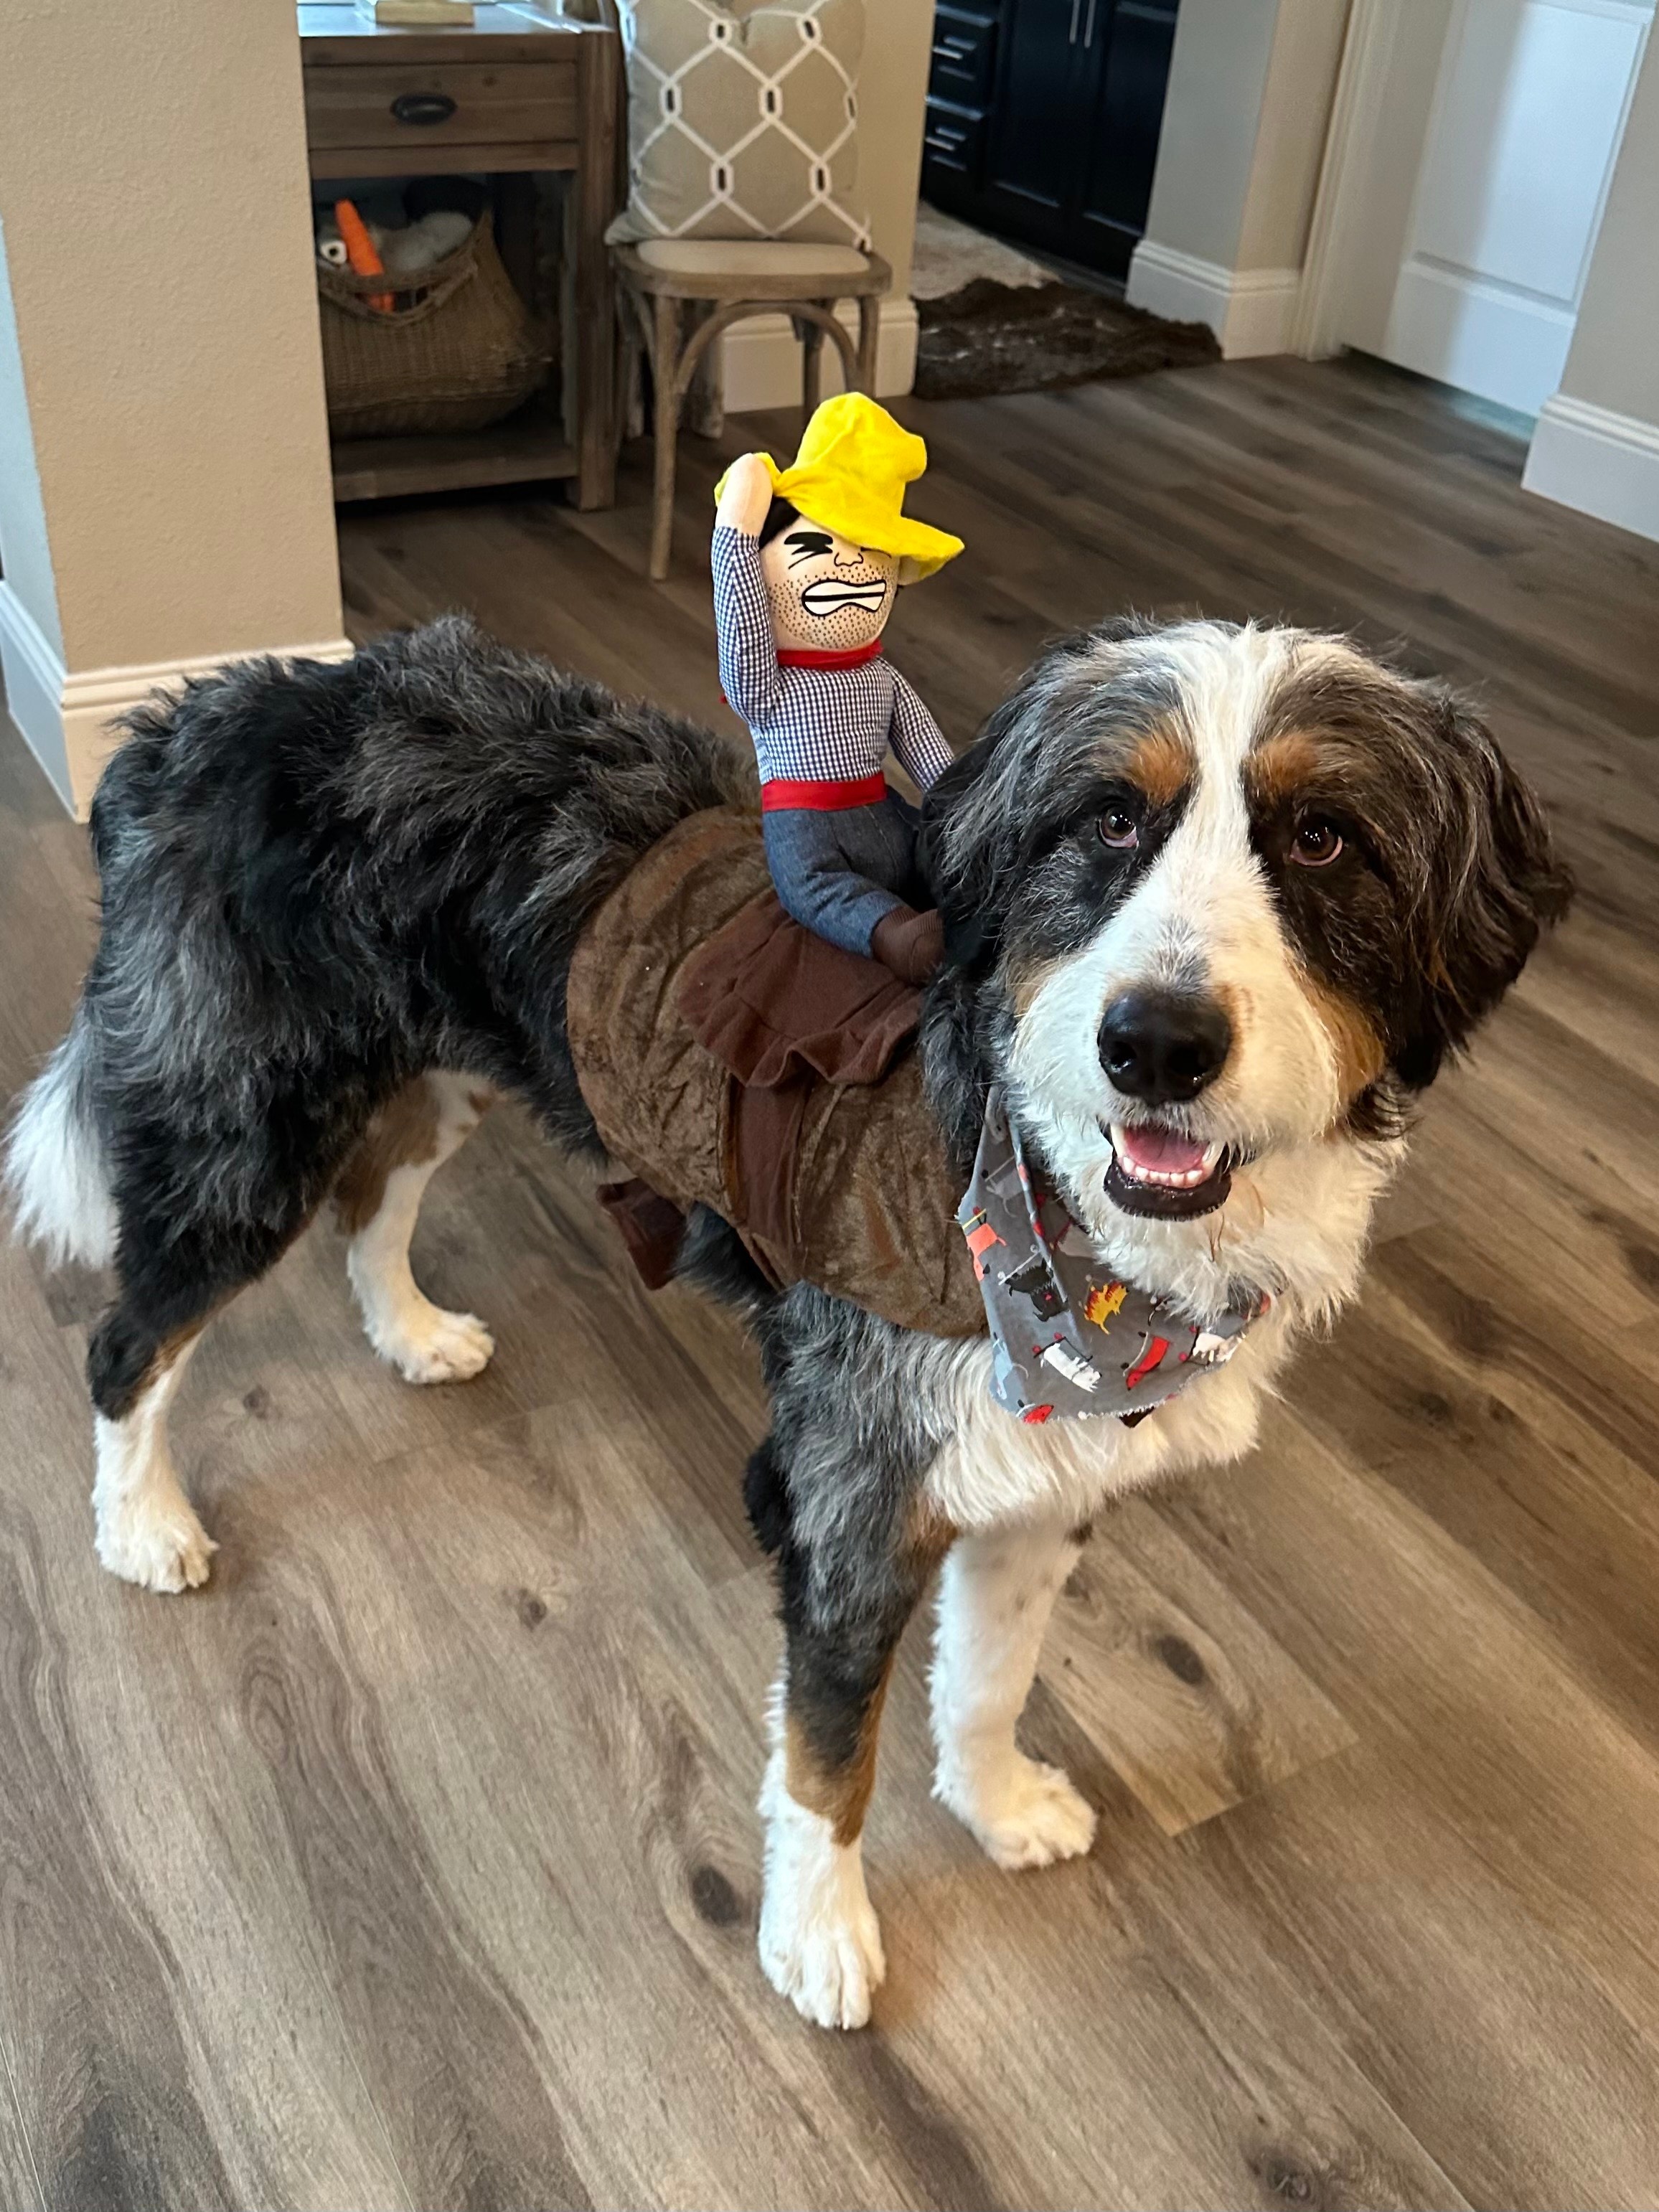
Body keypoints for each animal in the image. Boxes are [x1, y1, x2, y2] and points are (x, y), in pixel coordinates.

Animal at [6, 606, 1574, 2026]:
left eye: (1322, 840)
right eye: (1107, 818)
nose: (1155, 1042)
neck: (1047, 1201)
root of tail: (195, 715)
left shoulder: (1040, 1483)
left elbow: (990, 1675)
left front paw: (997, 1802)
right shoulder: (849, 1494)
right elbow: (829, 1762)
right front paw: (816, 1937)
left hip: (434, 1064)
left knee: (375, 1201)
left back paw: (410, 1330)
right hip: (240, 1138)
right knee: (128, 1341)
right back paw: (143, 1526)